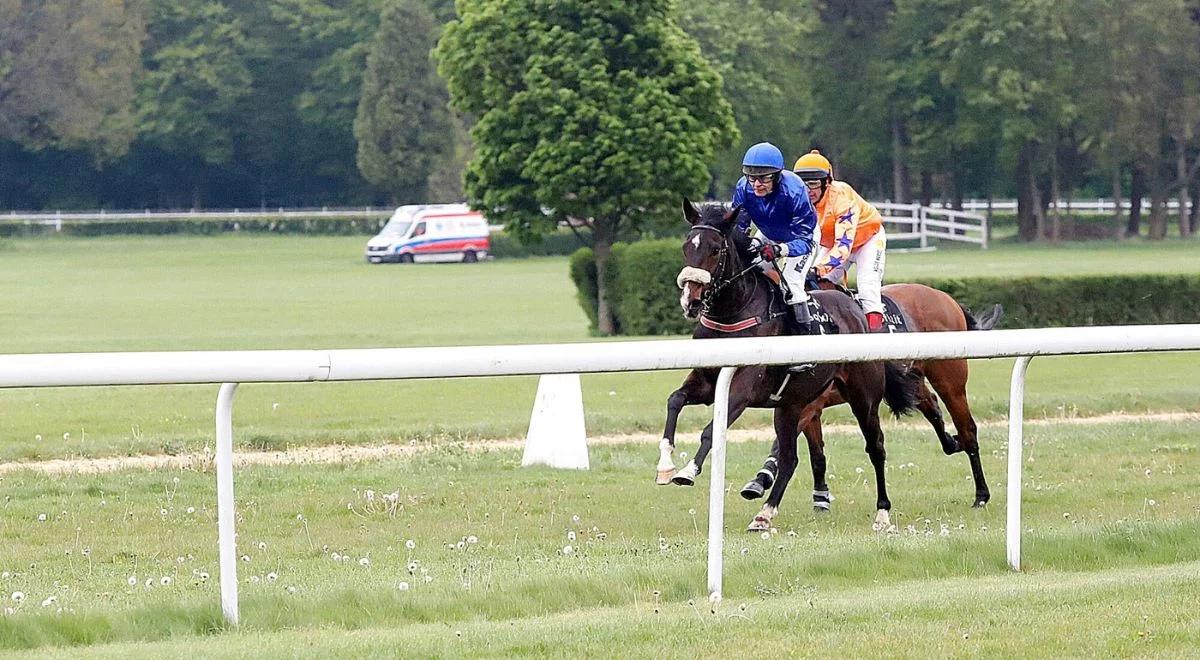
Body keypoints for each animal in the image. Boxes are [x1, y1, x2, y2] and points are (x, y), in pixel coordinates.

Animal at [662, 196, 912, 532]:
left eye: (715, 249)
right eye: (686, 246)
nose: (691, 301)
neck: (734, 313)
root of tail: (858, 310)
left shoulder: (742, 388)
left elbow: (711, 430)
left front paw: (687, 471)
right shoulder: (706, 380)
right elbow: (675, 400)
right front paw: (665, 463)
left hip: (864, 399)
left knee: (876, 448)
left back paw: (883, 512)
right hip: (790, 405)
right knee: (790, 458)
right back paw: (764, 514)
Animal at [739, 282, 1003, 516]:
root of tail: (946, 298)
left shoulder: (809, 403)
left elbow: (784, 441)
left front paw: (761, 480)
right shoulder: (803, 403)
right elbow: (816, 454)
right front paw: (820, 498)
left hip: (950, 380)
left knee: (967, 428)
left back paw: (980, 494)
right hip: (913, 378)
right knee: (931, 405)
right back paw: (951, 442)